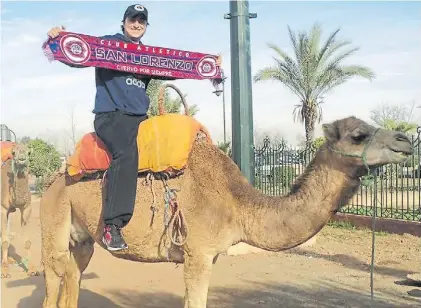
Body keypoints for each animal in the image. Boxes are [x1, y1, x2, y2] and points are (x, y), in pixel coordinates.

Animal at [1, 143, 38, 278]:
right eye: (13, 152)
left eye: (28, 152)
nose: (21, 157)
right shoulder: (2, 209)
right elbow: (5, 241)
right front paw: (5, 271)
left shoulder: (27, 208)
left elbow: (27, 242)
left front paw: (32, 269)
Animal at [41, 116, 412, 308]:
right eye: (358, 134)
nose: (405, 139)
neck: (238, 205)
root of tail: (54, 177)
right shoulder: (198, 253)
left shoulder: (208, 255)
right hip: (56, 216)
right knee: (53, 273)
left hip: (83, 238)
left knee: (73, 274)